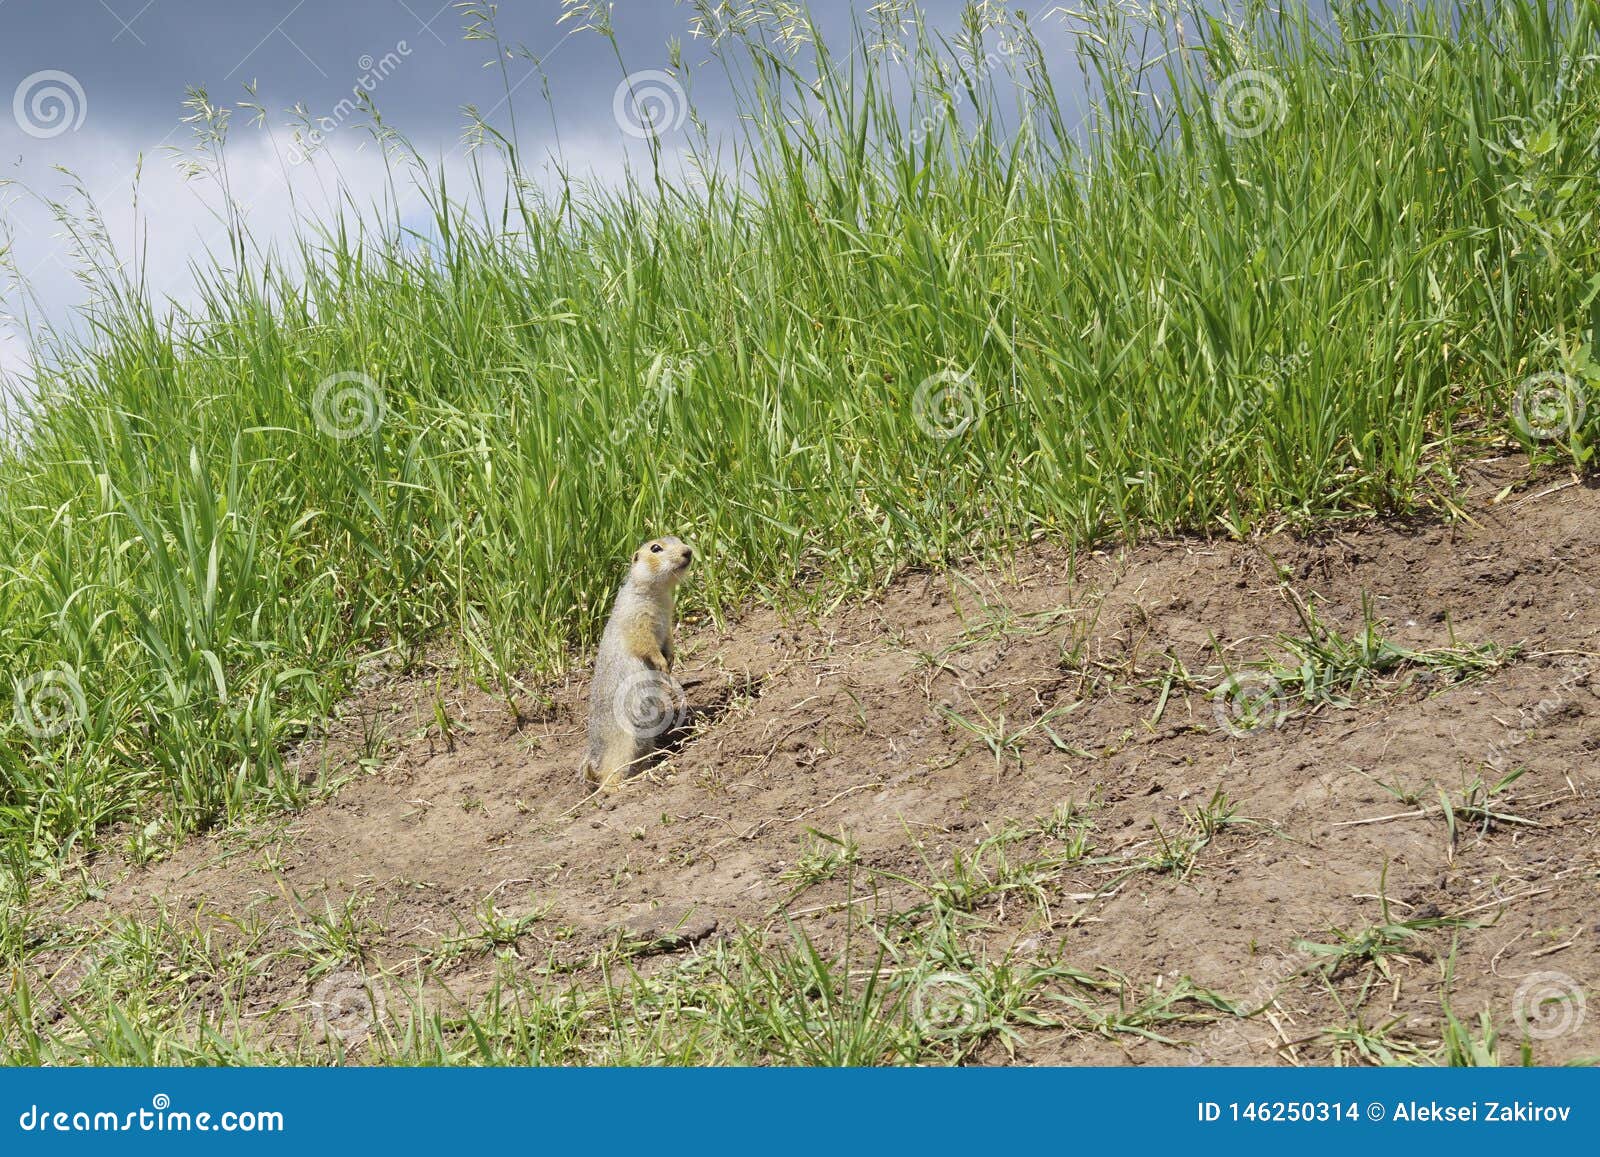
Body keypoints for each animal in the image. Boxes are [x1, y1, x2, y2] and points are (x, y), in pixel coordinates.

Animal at [582, 537, 694, 796]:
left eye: (678, 539)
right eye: (656, 548)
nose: (688, 551)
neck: (658, 594)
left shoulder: (667, 621)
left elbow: (668, 640)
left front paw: (671, 659)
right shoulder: (637, 618)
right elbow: (645, 643)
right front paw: (662, 664)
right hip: (622, 744)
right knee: (607, 780)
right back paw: (625, 785)